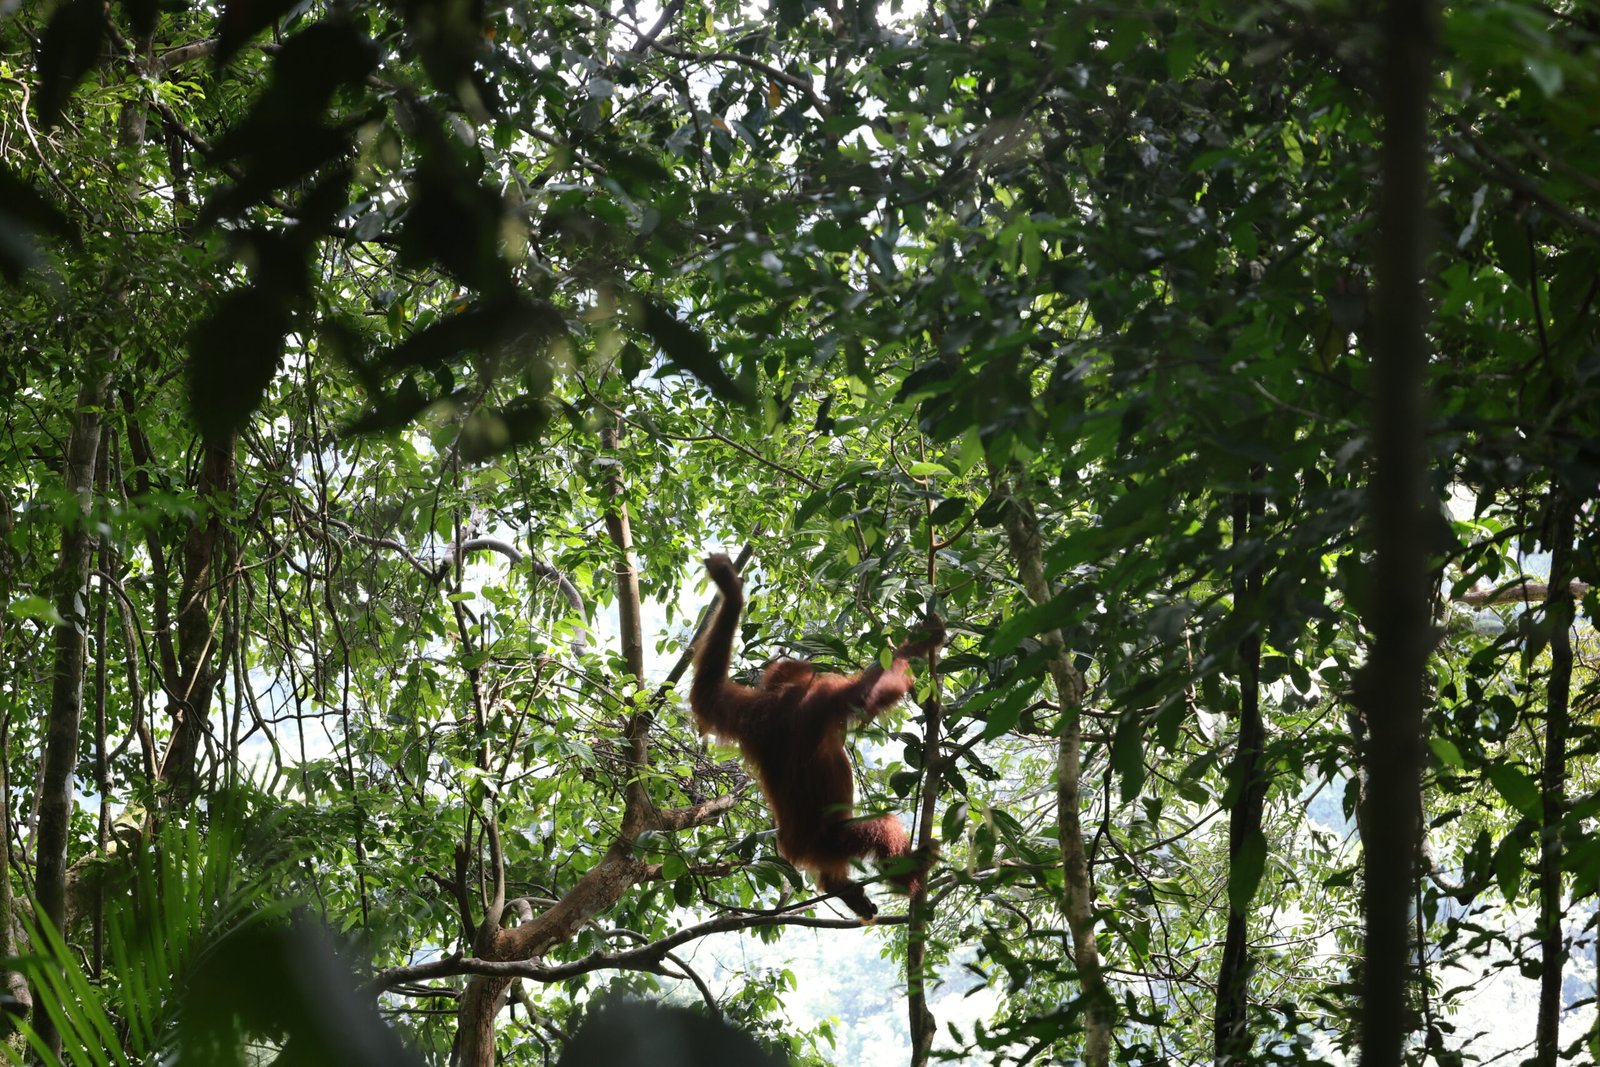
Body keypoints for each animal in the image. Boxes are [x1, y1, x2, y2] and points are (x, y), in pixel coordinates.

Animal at [690, 554, 944, 920]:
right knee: (882, 827)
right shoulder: (824, 694)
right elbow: (872, 692)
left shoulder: (742, 710)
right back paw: (909, 875)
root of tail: (797, 849)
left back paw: (844, 890)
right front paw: (923, 639)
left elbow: (707, 693)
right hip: (835, 839)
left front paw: (730, 591)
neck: (780, 696)